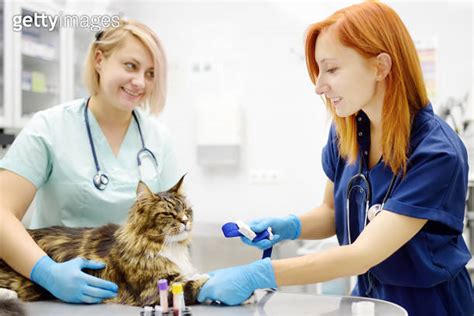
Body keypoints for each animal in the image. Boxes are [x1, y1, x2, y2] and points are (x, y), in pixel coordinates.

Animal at [0, 175, 207, 306]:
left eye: (186, 210)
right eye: (168, 214)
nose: (185, 221)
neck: (169, 247)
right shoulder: (154, 289)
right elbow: (195, 284)